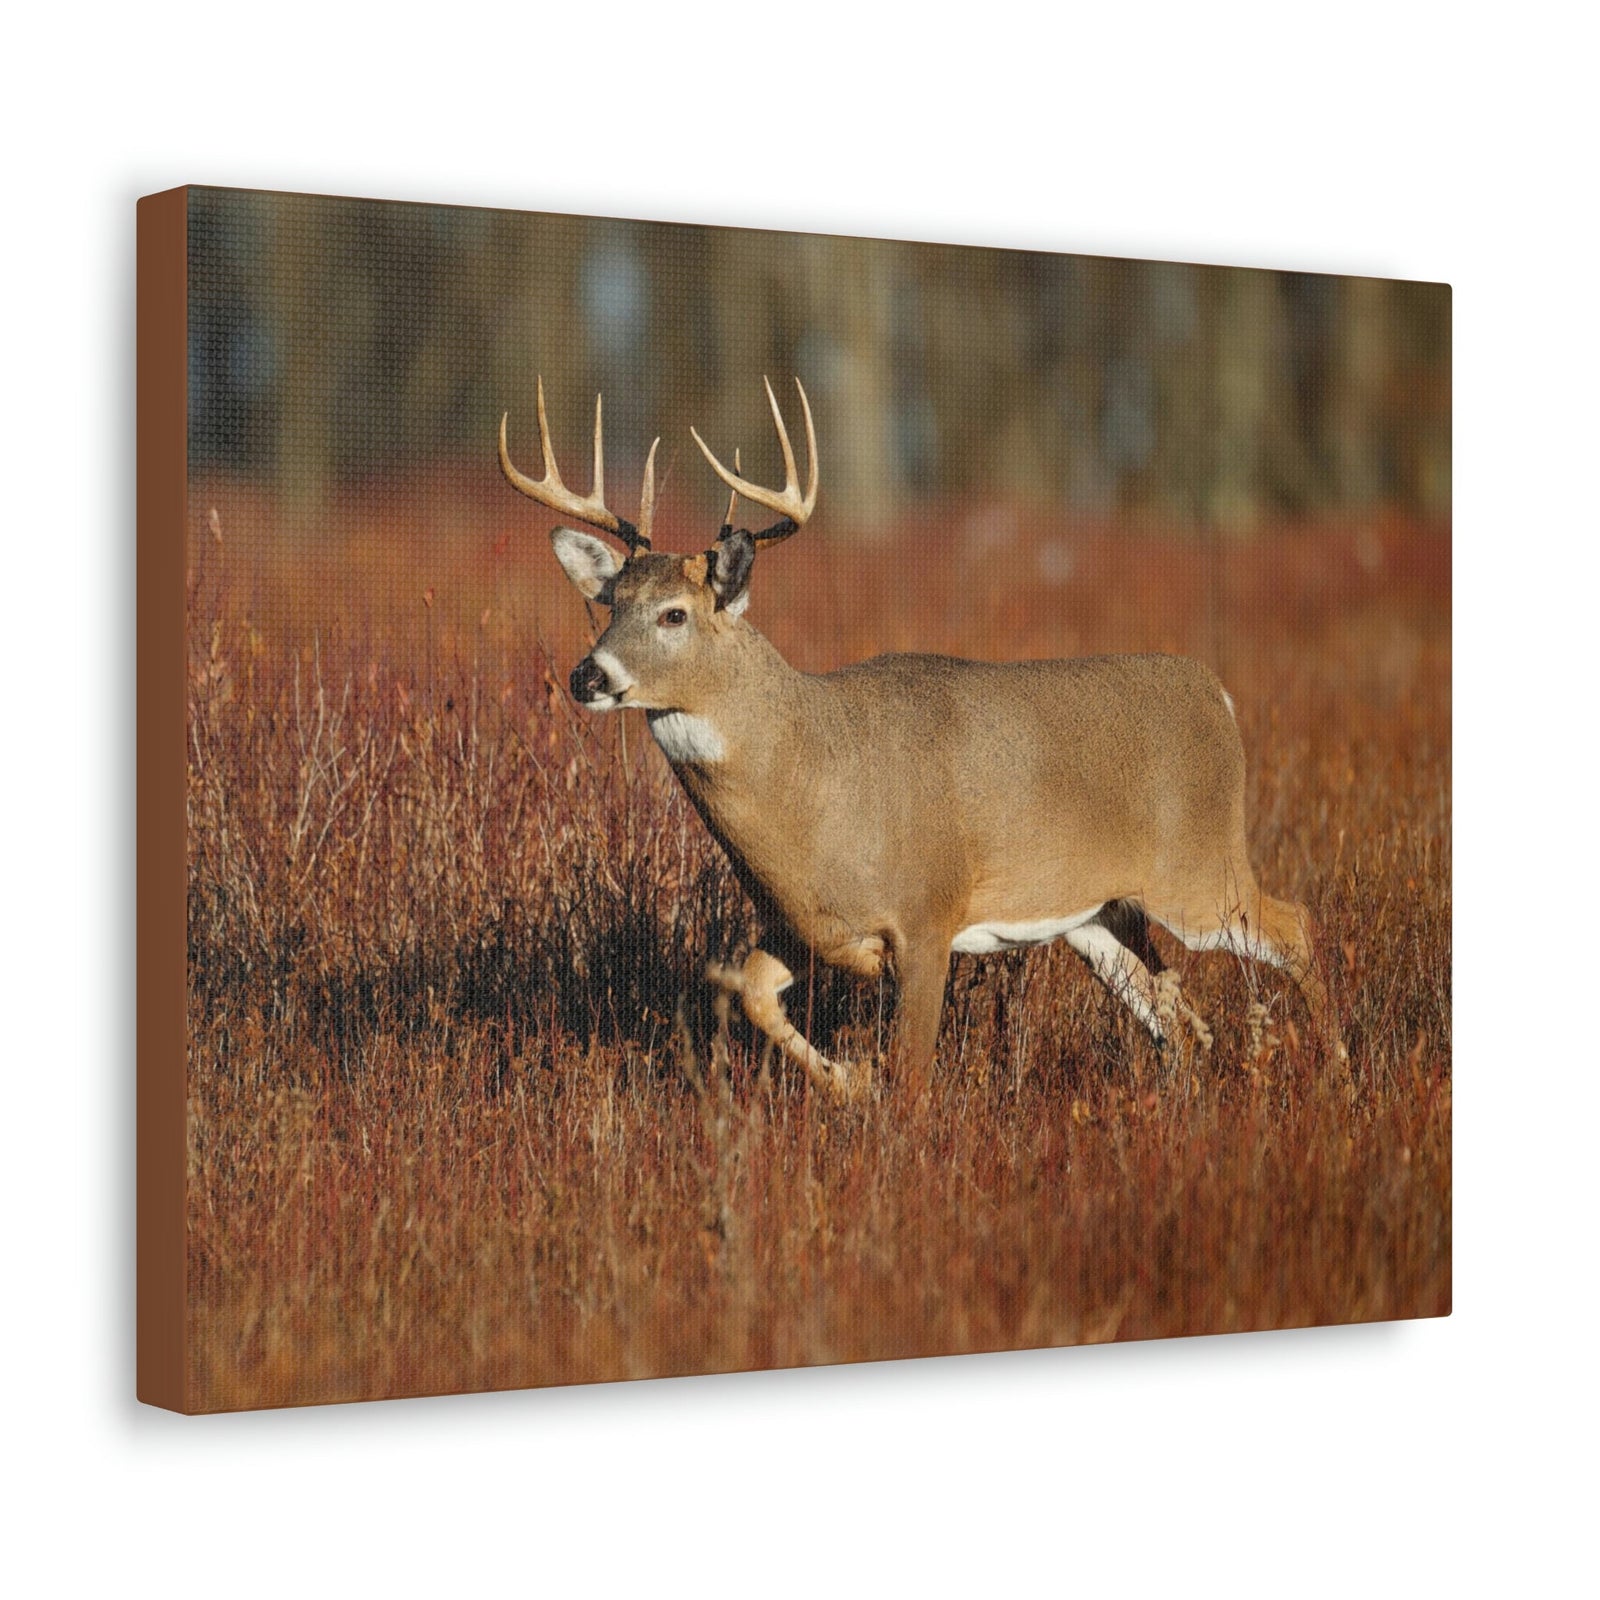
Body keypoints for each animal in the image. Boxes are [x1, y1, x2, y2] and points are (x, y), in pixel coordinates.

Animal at [498, 377, 1341, 1099]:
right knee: (1176, 1013)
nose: (587, 675)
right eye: (610, 604)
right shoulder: (804, 925)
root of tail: (1217, 693)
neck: (814, 783)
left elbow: (911, 1077)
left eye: (674, 614)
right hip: (1099, 913)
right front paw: (848, 1080)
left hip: (1197, 870)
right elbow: (750, 992)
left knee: (1296, 927)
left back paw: (1338, 1071)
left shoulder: (929, 914)